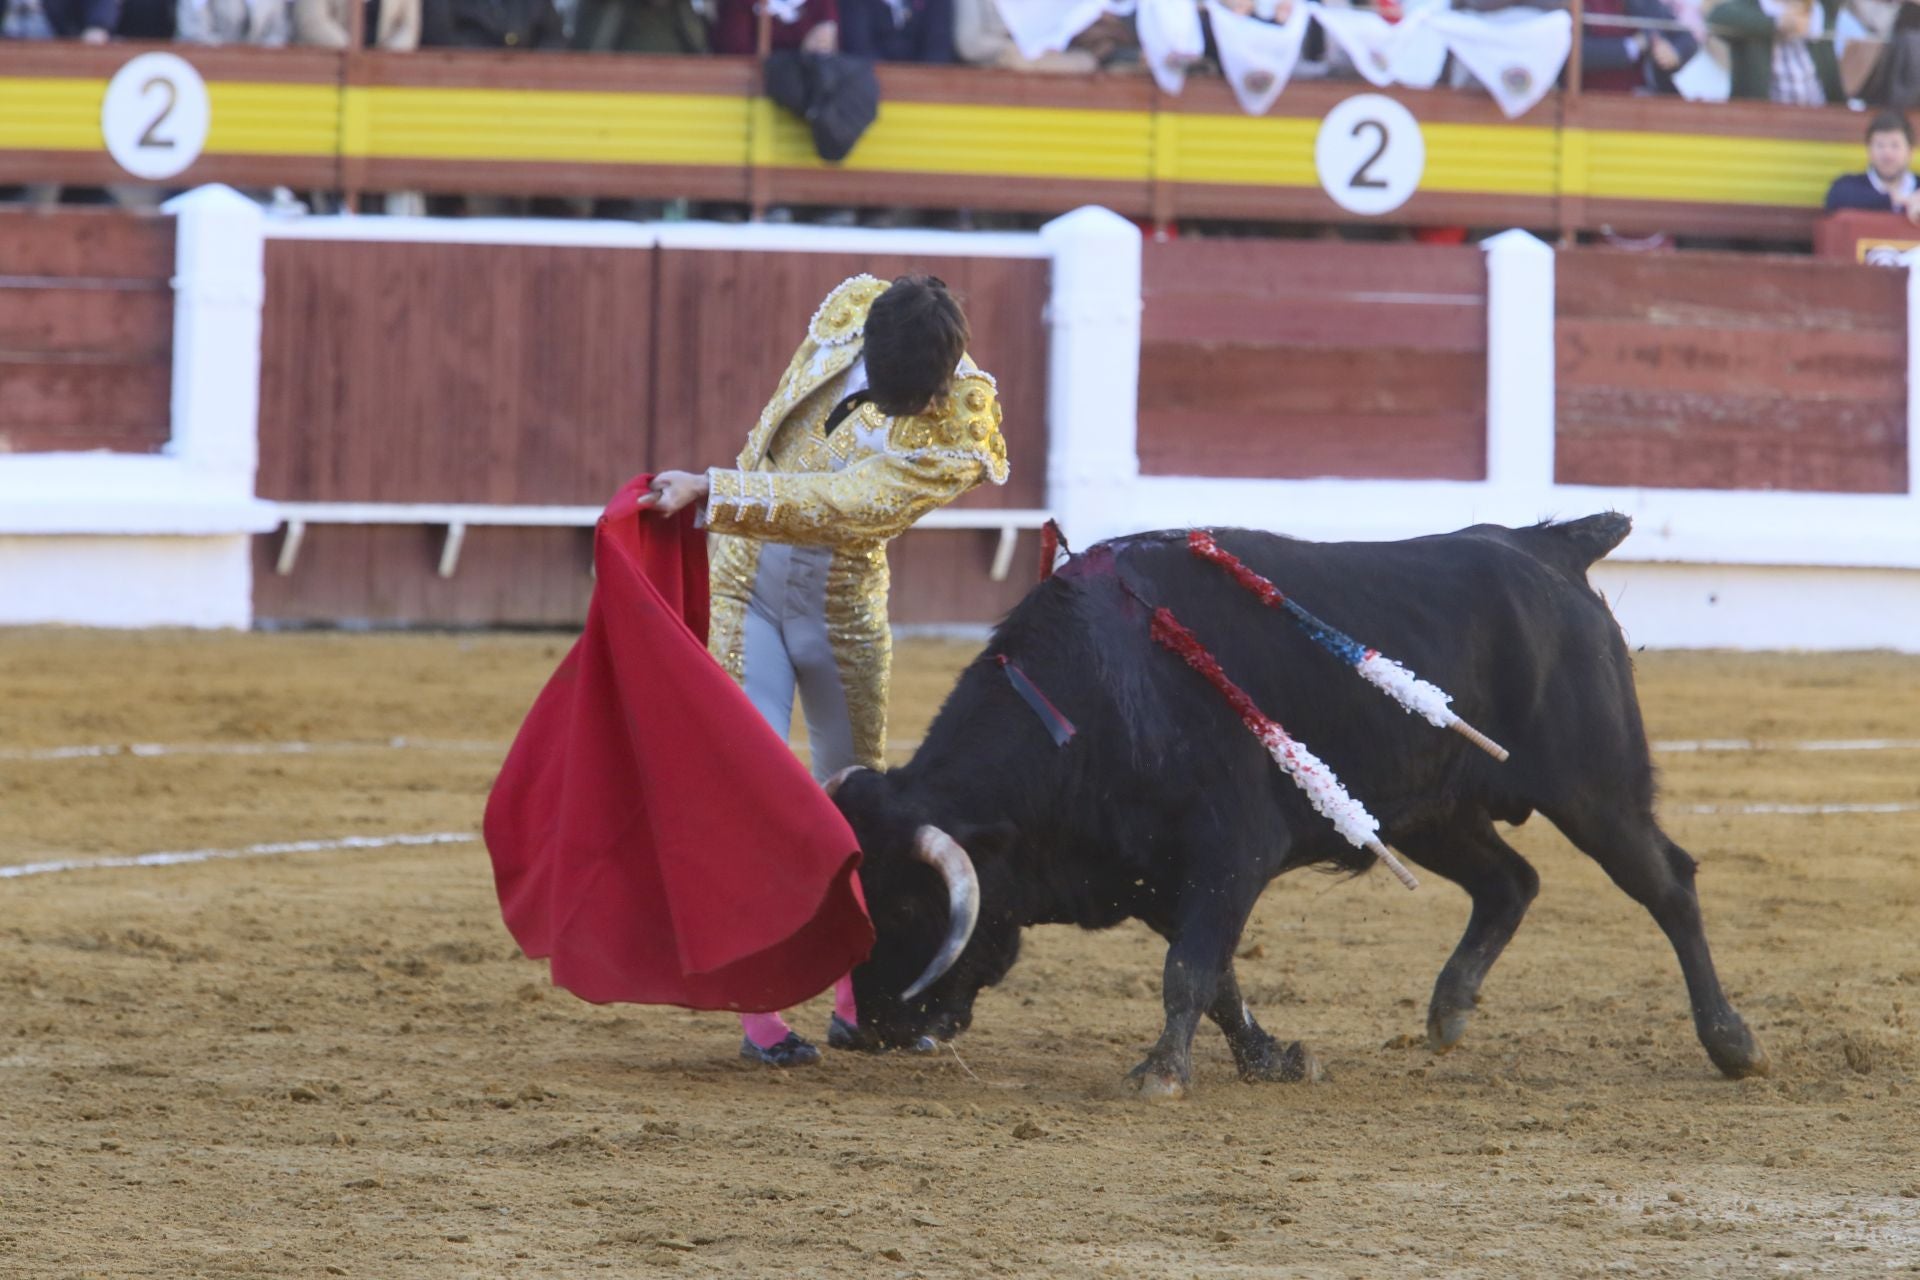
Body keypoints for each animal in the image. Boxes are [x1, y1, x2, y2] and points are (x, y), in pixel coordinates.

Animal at [833, 514, 1774, 1097]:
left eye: (910, 905)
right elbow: (1217, 977)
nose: (863, 1029)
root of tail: (1547, 548)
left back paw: (1732, 1043)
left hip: (1595, 791)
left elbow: (1190, 969)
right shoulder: (1160, 878)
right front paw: (1275, 1059)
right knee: (1511, 882)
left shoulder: (1229, 853)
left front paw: (1160, 1074)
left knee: (1667, 885)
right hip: (1432, 813)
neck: (1091, 701)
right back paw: (1449, 1009)